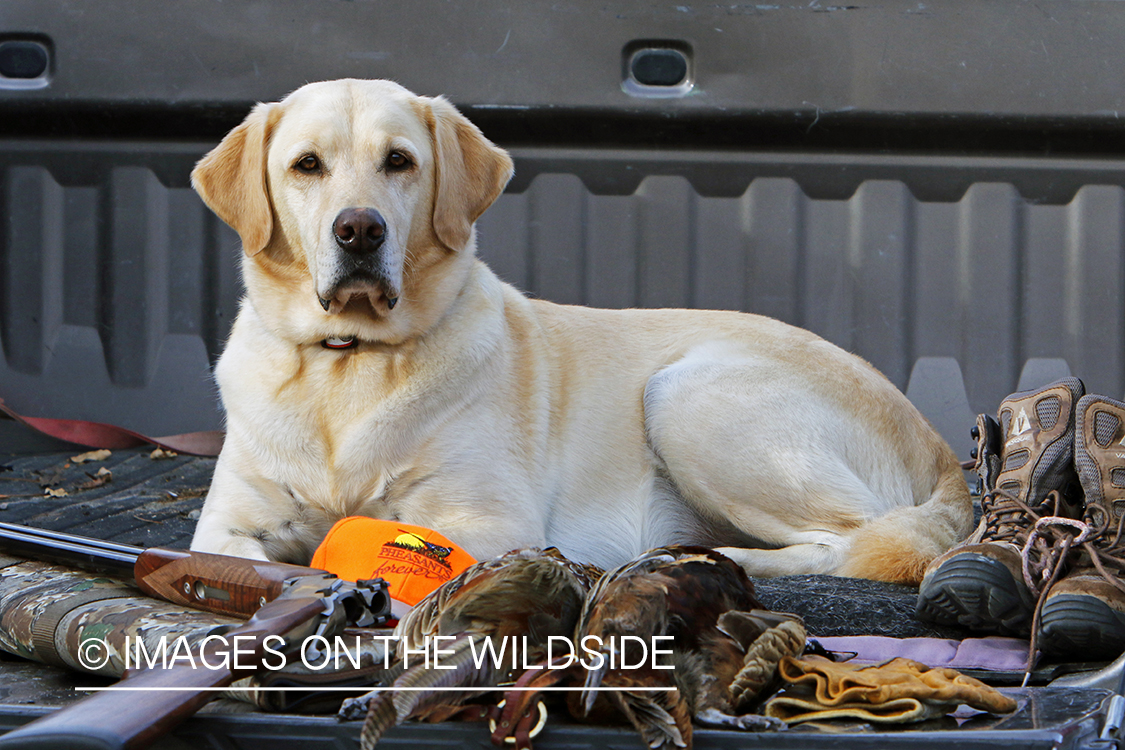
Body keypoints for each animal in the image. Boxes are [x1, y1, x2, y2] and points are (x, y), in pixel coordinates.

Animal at [189, 79, 972, 584]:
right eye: (306, 165)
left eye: (399, 162)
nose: (359, 230)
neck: (348, 361)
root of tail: (938, 448)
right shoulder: (223, 528)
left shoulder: (492, 523)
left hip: (687, 395)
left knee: (855, 541)